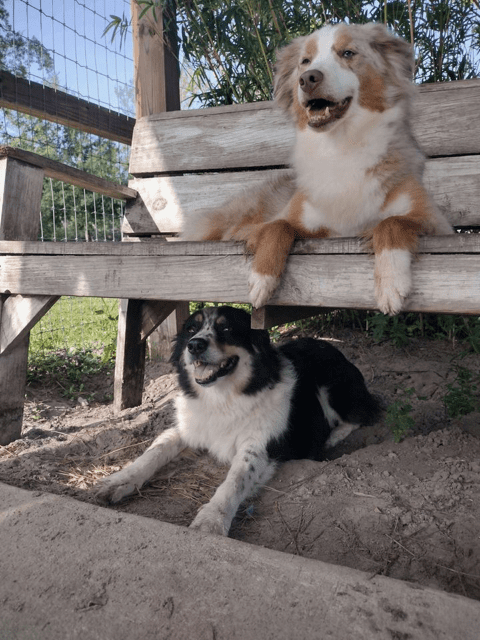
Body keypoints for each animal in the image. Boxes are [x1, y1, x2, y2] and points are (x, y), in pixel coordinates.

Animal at [96, 304, 378, 536]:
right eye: (190, 329)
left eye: (227, 328)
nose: (194, 345)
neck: (223, 398)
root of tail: (332, 347)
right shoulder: (187, 429)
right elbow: (153, 451)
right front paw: (119, 481)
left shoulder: (260, 447)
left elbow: (234, 481)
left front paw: (212, 519)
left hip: (331, 387)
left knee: (364, 413)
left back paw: (334, 436)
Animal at [182, 23, 452, 314]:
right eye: (305, 61)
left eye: (348, 53)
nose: (308, 78)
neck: (341, 145)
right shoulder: (292, 219)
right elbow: (278, 227)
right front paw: (262, 279)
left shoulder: (437, 224)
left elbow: (391, 223)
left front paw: (391, 282)